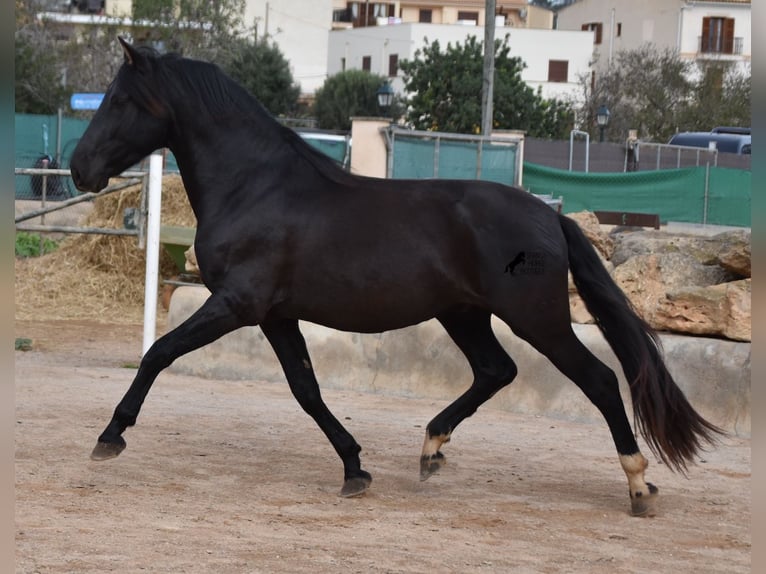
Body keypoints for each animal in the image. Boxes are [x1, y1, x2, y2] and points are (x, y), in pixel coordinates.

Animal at [69, 40, 724, 516]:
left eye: (120, 99)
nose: (79, 169)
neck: (256, 186)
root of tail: (550, 215)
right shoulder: (277, 315)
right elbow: (306, 390)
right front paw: (355, 469)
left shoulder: (237, 304)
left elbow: (158, 352)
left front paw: (111, 436)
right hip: (463, 314)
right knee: (496, 370)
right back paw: (431, 448)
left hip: (535, 318)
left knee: (599, 379)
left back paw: (638, 487)